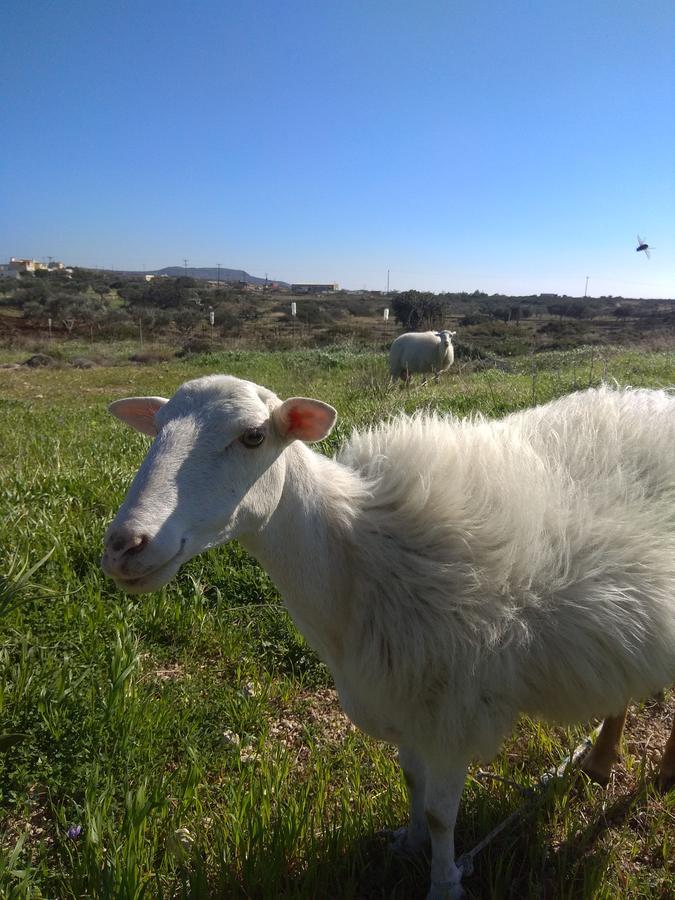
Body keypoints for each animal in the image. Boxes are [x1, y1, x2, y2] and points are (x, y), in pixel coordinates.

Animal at [103, 380, 675, 900]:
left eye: (253, 436)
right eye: (156, 429)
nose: (123, 546)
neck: (350, 554)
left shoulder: (453, 710)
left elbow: (443, 815)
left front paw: (443, 882)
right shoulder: (402, 696)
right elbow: (411, 782)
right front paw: (408, 843)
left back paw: (662, 775)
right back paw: (600, 761)